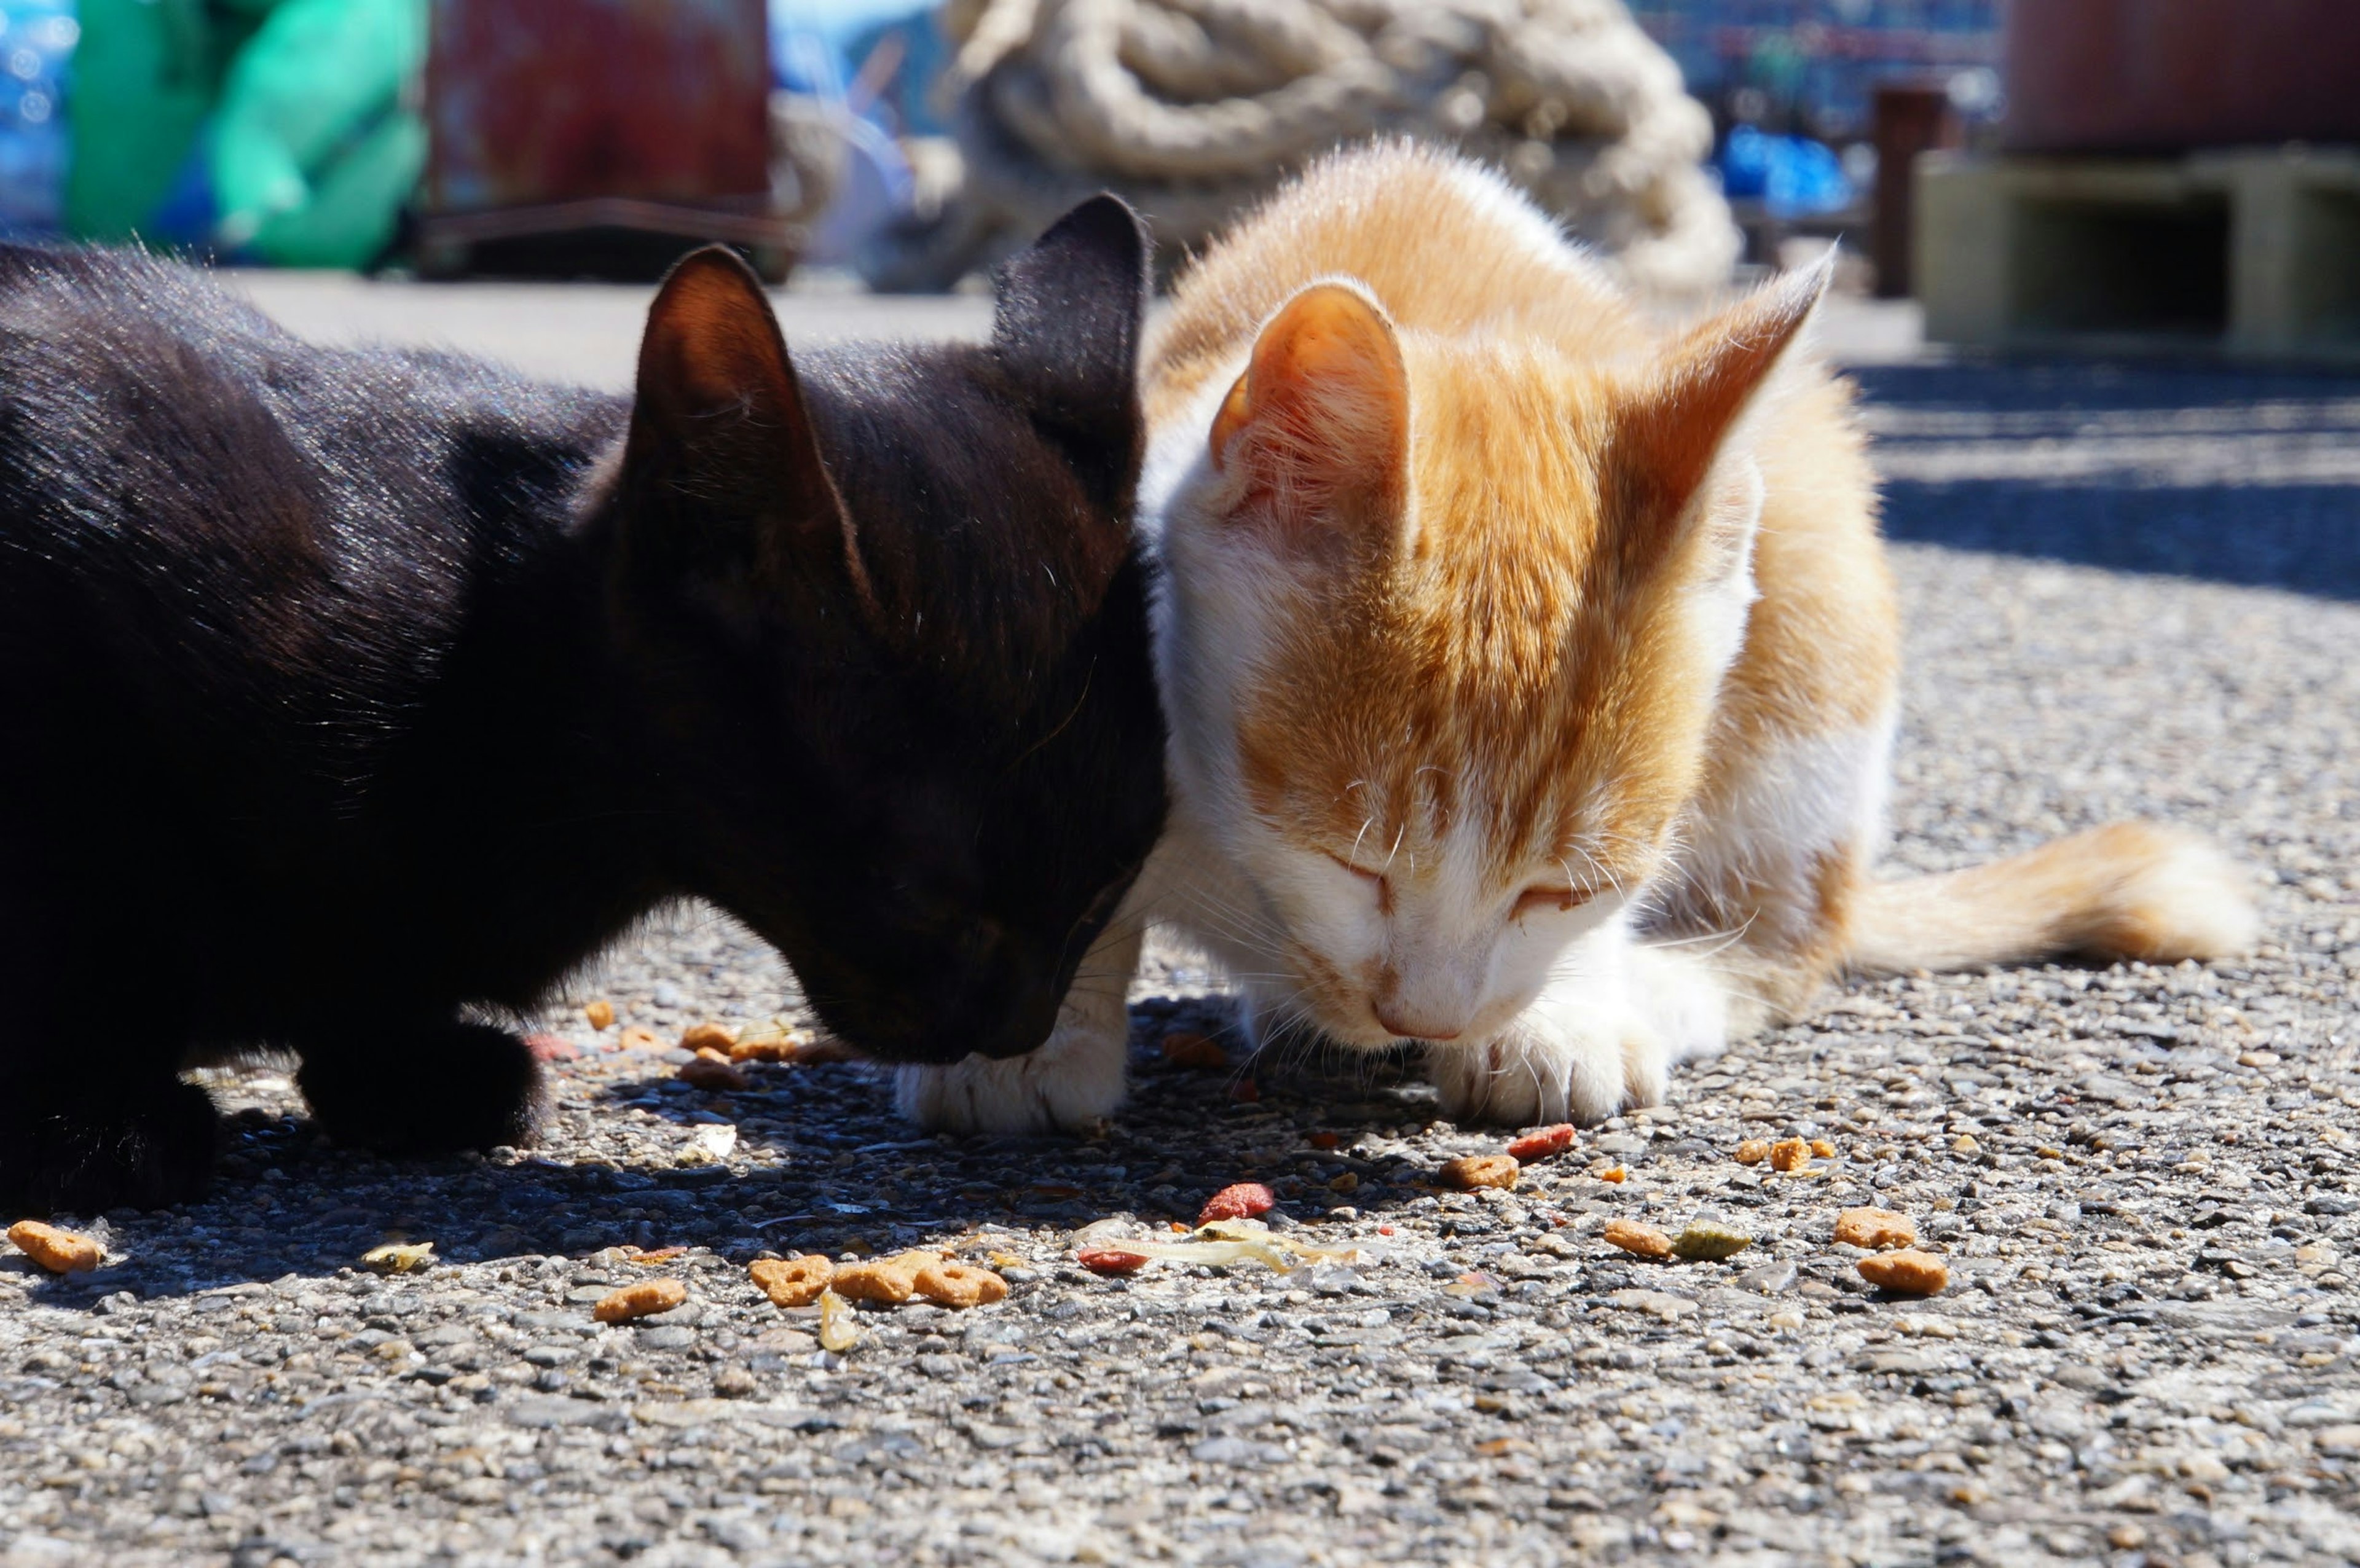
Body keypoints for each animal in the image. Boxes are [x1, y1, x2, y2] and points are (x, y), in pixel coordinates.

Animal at [0, 199, 1165, 1207]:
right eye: (920, 892)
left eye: (1115, 876)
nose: (1018, 1028)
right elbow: (86, 917)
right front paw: (92, 1127)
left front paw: (400, 1064)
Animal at [897, 141, 2246, 1132]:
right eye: (1350, 859)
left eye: (1565, 887)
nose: (1430, 1016)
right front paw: (1029, 1037)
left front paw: (1558, 1017)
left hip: (1816, 577)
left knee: (1789, 945)